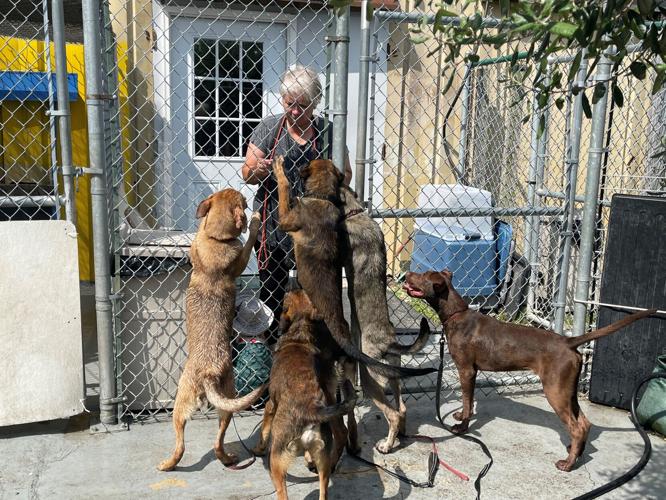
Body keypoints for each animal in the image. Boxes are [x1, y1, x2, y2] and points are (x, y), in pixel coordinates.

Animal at [157, 188, 266, 472]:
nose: (253, 209)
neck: (217, 239)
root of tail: (208, 372)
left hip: (189, 405)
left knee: (190, 444)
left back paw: (168, 465)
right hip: (223, 403)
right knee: (211, 444)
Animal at [400, 268, 652, 470]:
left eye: (422, 275)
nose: (407, 273)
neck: (456, 314)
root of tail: (568, 341)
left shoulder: (466, 370)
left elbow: (467, 401)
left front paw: (462, 427)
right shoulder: (472, 372)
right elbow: (467, 402)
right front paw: (461, 416)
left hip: (555, 390)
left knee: (577, 427)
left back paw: (568, 464)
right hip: (568, 391)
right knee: (584, 423)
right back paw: (575, 452)